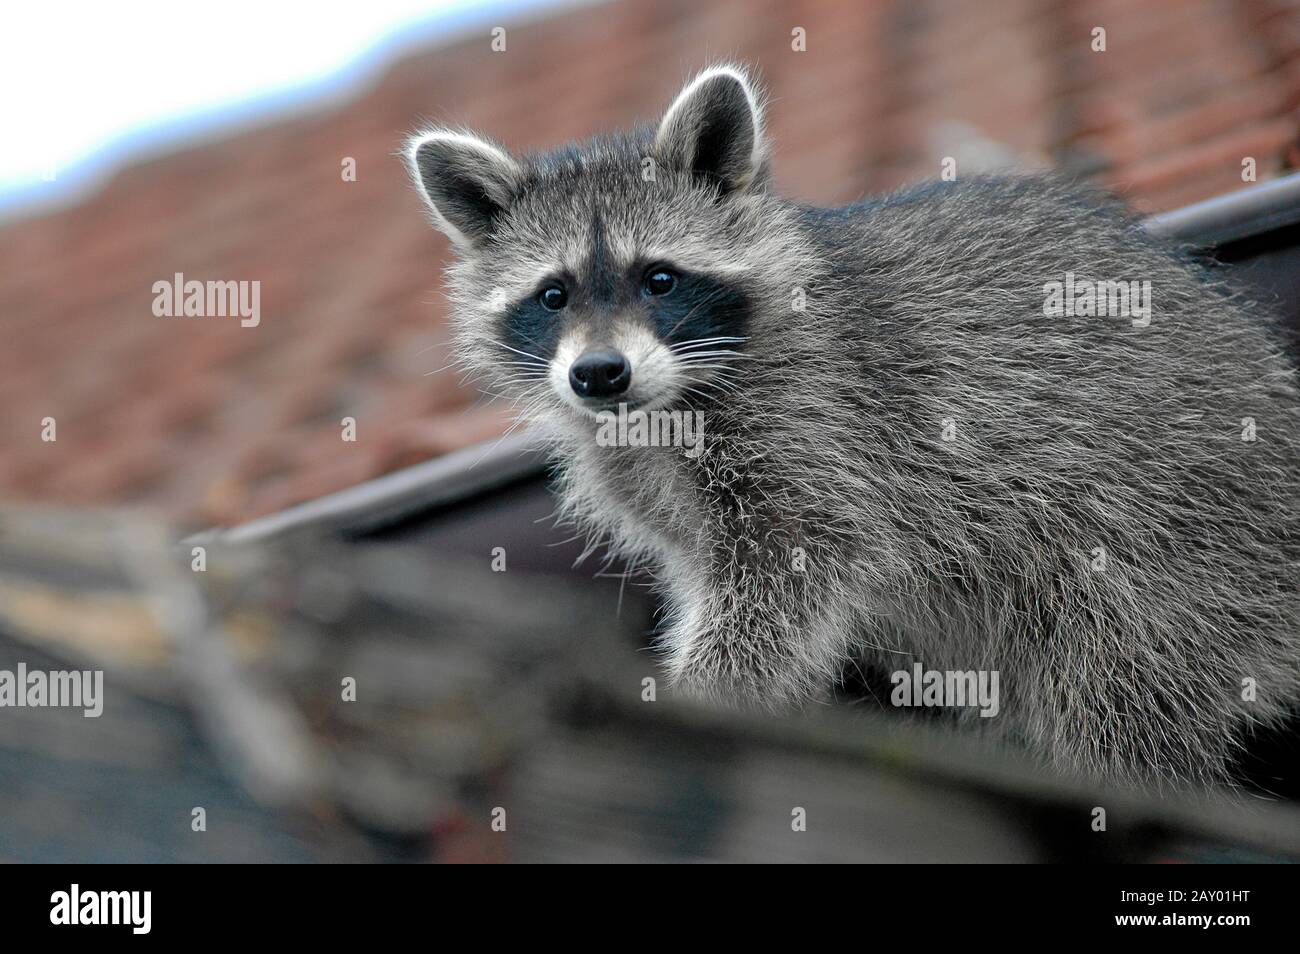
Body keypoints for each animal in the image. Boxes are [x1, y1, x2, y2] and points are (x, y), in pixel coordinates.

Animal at [410, 63, 1300, 790]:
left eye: (658, 279)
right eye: (552, 295)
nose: (598, 375)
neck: (664, 402)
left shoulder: (821, 420)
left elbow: (790, 570)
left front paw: (708, 692)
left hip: (1173, 545)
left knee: (1120, 693)